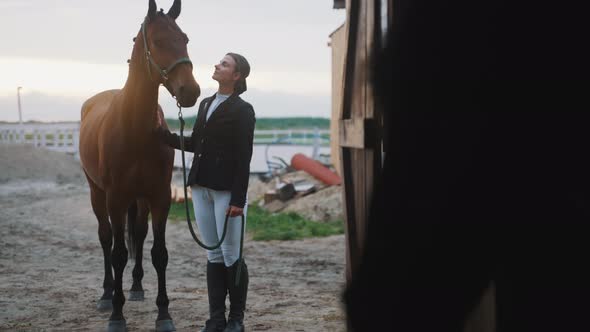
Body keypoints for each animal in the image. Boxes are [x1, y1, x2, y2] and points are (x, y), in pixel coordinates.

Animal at [78, 1, 200, 330]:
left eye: (185, 39)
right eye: (158, 41)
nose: (191, 91)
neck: (134, 128)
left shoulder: (159, 196)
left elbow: (159, 252)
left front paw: (164, 314)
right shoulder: (116, 198)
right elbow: (119, 253)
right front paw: (117, 315)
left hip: (141, 199)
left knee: (140, 234)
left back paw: (135, 287)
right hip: (97, 194)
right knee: (106, 238)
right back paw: (107, 294)